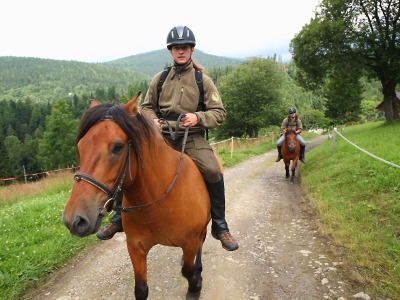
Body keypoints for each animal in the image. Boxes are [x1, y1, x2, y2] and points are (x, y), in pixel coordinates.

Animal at [62, 92, 211, 300]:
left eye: (118, 147)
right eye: (81, 146)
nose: (74, 220)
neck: (158, 203)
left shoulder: (189, 242)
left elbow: (189, 272)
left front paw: (195, 287)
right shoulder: (135, 247)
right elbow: (140, 289)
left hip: (203, 228)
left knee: (200, 246)